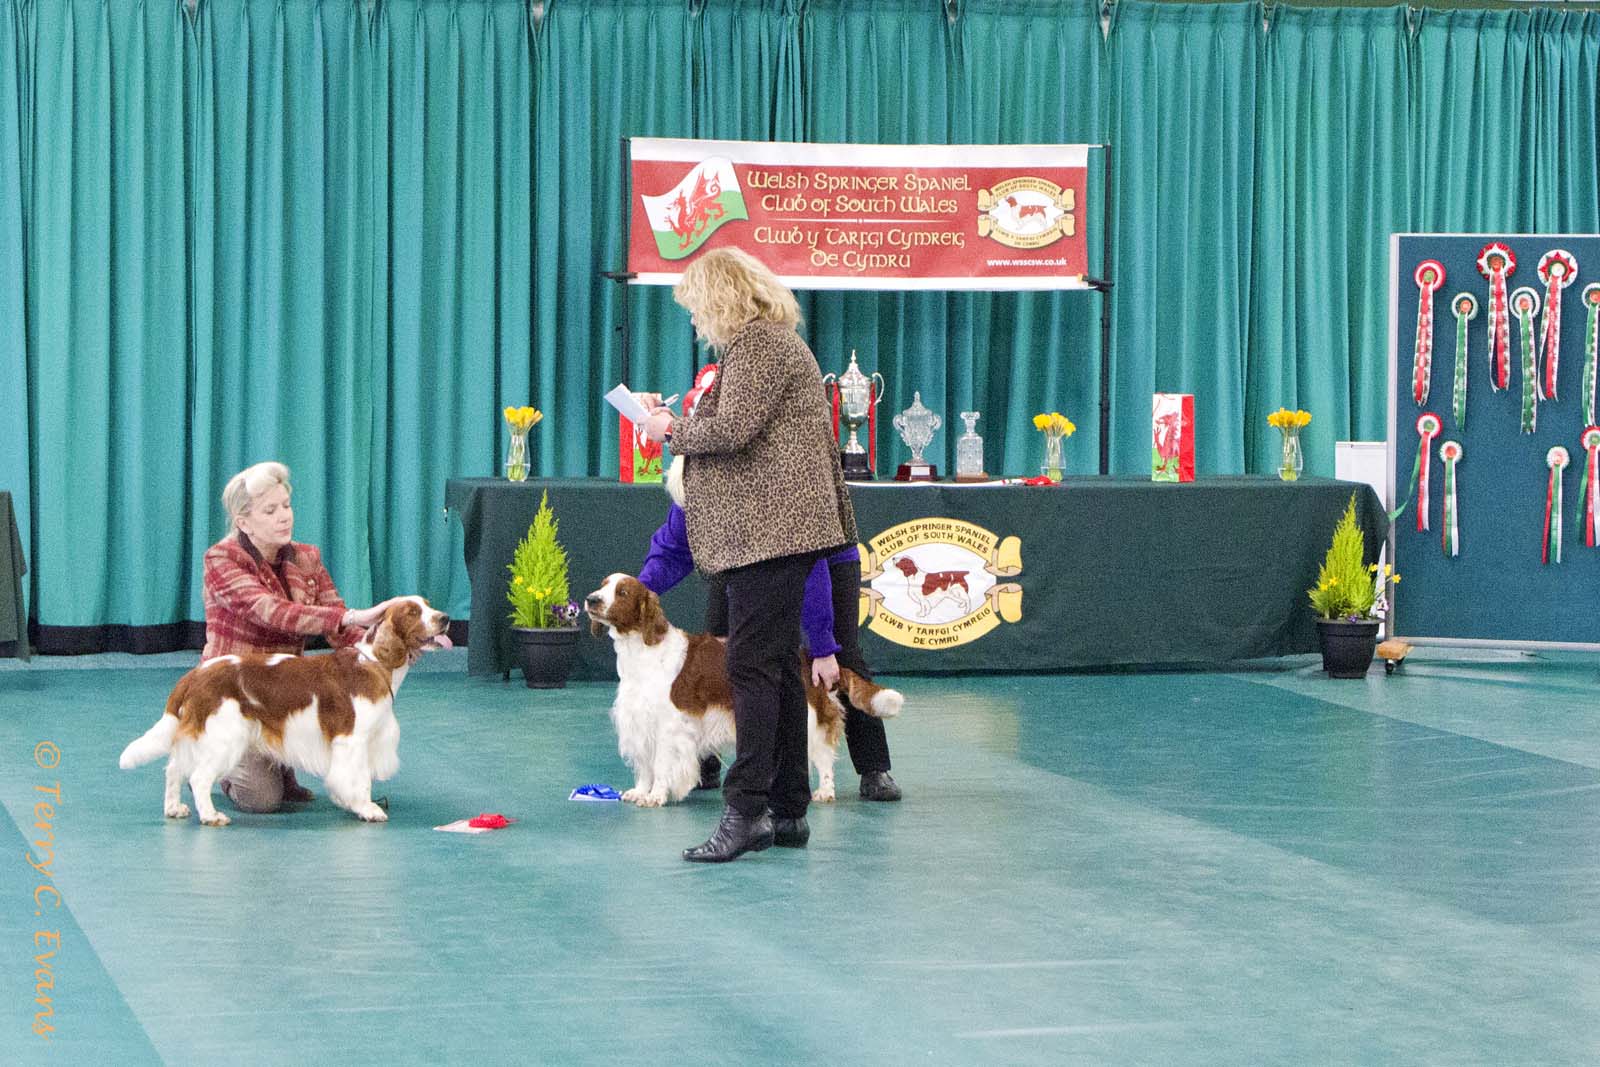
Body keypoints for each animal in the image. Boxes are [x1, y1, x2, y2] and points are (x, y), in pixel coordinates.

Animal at [118, 597, 452, 826]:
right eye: (412, 612)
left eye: (428, 605)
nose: (446, 618)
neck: (375, 663)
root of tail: (195, 674)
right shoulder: (352, 740)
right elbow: (359, 779)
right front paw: (367, 808)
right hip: (225, 738)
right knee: (199, 777)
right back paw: (211, 816)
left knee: (174, 769)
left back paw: (174, 808)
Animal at [585, 573, 902, 807]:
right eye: (603, 585)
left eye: (623, 592)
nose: (591, 599)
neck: (643, 649)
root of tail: (809, 657)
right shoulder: (638, 720)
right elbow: (644, 765)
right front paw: (640, 791)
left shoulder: (669, 725)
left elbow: (661, 764)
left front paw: (656, 796)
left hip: (809, 718)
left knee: (823, 756)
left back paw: (824, 792)